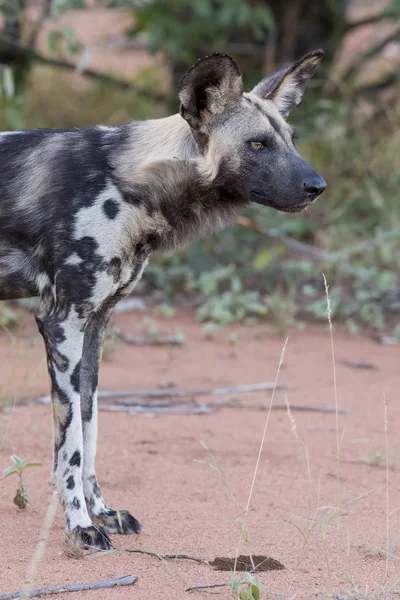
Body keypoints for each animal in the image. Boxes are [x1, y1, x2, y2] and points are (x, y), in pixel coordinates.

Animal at [0, 50, 324, 548]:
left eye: (291, 141)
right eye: (256, 145)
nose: (317, 186)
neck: (128, 184)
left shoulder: (95, 325)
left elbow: (90, 429)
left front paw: (101, 513)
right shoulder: (62, 322)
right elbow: (70, 446)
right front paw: (79, 527)